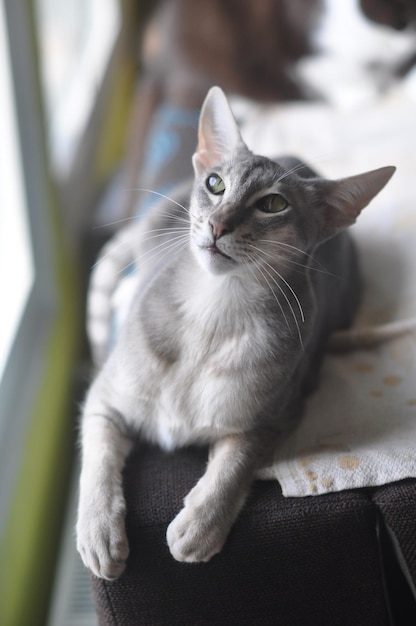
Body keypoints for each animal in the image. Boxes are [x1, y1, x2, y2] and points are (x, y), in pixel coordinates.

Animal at [77, 85, 394, 576]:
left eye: (273, 204)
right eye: (215, 184)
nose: (217, 224)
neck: (214, 313)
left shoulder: (273, 417)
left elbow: (234, 464)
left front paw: (201, 524)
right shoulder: (104, 401)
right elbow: (98, 459)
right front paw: (97, 529)